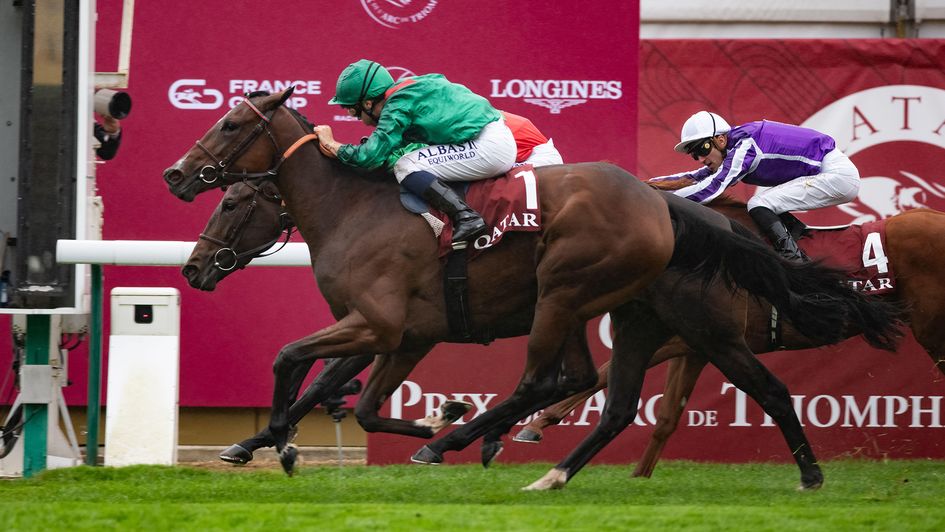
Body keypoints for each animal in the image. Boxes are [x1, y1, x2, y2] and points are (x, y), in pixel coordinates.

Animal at [162, 89, 900, 488]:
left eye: (232, 128)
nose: (175, 175)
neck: (355, 207)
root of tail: (668, 208)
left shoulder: (379, 323)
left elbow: (293, 360)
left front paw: (287, 440)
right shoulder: (403, 333)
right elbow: (354, 398)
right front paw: (267, 440)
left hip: (574, 294)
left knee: (550, 380)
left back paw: (467, 442)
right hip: (636, 318)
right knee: (600, 388)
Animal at [516, 196, 944, 478]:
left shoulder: (693, 338)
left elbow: (606, 373)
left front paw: (537, 424)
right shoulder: (695, 346)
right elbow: (665, 416)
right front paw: (638, 478)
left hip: (931, 328)